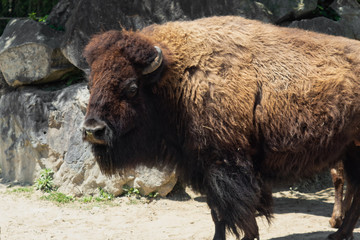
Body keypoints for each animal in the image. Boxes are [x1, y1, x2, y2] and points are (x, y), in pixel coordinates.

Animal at [83, 15, 360, 239]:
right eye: (90, 84)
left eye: (131, 87)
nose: (92, 130)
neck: (177, 78)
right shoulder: (203, 167)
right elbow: (217, 213)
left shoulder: (226, 165)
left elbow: (236, 212)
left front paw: (250, 236)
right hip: (349, 153)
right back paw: (340, 233)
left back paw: (339, 233)